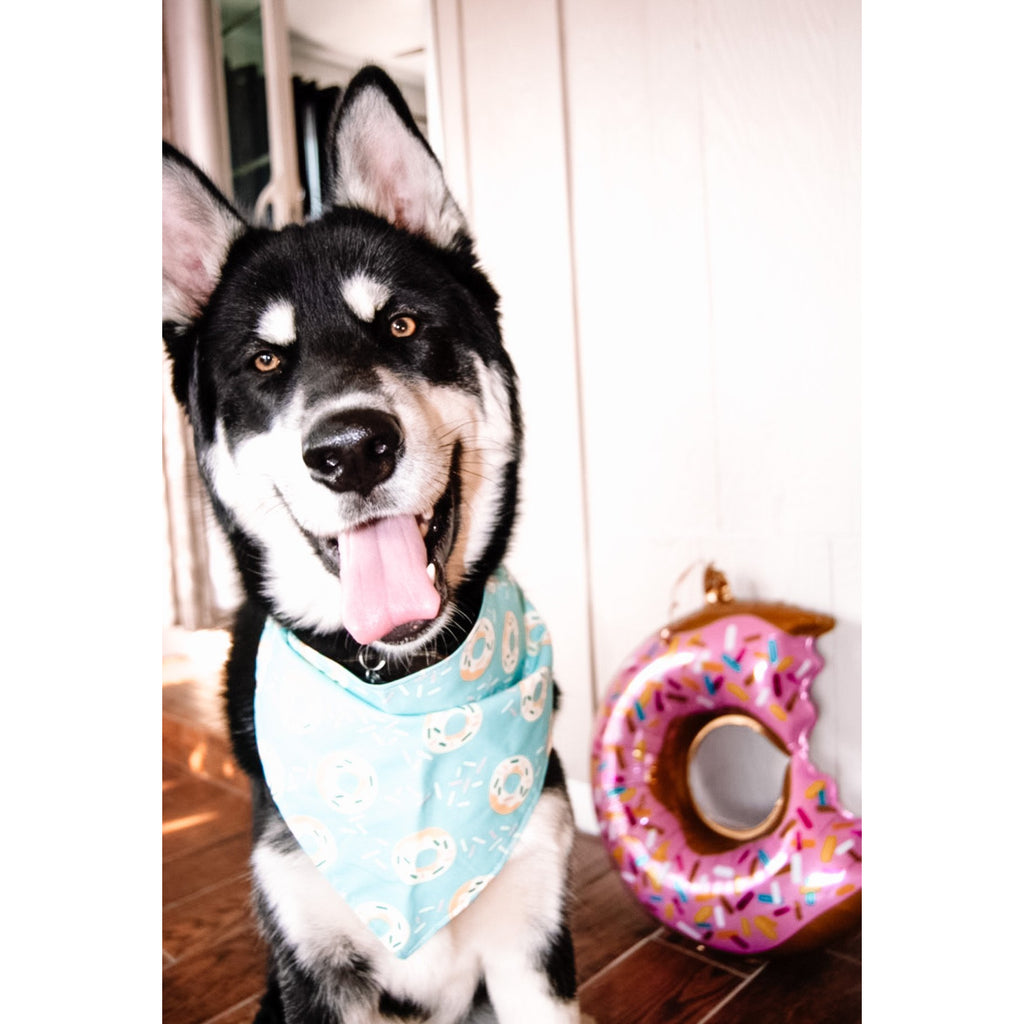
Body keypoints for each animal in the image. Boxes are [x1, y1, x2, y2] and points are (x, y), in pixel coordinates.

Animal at [160, 68, 581, 1019]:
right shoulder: (315, 969)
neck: (405, 698)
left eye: (401, 327)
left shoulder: (533, 949)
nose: (352, 449)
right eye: (265, 363)